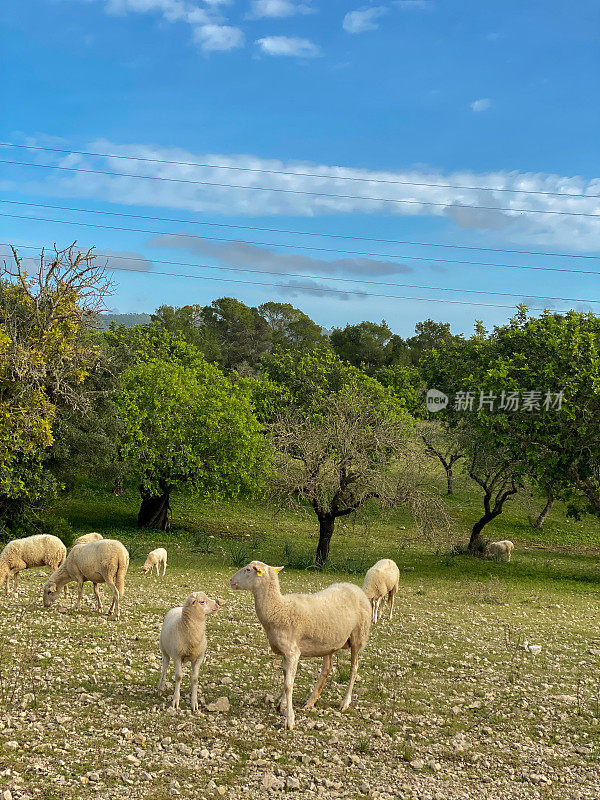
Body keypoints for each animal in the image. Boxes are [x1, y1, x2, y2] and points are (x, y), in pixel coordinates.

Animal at [230, 564, 370, 732]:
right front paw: (282, 704)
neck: (278, 608)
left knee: (353, 669)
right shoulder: (285, 652)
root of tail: (356, 588)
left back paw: (345, 702)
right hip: (329, 642)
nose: (231, 580)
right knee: (327, 668)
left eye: (249, 569)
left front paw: (289, 720)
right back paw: (311, 701)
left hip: (358, 636)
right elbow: (285, 678)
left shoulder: (293, 653)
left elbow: (288, 685)